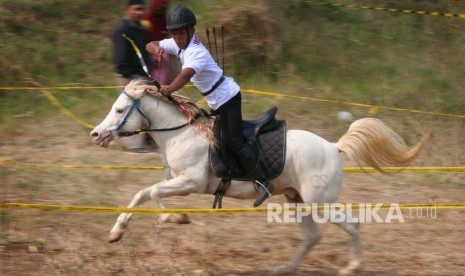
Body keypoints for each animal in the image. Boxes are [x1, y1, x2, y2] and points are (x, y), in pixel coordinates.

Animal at [89, 79, 428, 274]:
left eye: (119, 109)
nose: (96, 134)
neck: (181, 132)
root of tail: (334, 147)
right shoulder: (177, 181)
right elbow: (143, 193)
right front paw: (116, 233)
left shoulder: (190, 183)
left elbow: (155, 194)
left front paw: (176, 219)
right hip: (298, 201)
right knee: (313, 236)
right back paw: (284, 268)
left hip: (321, 203)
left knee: (352, 225)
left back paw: (352, 267)